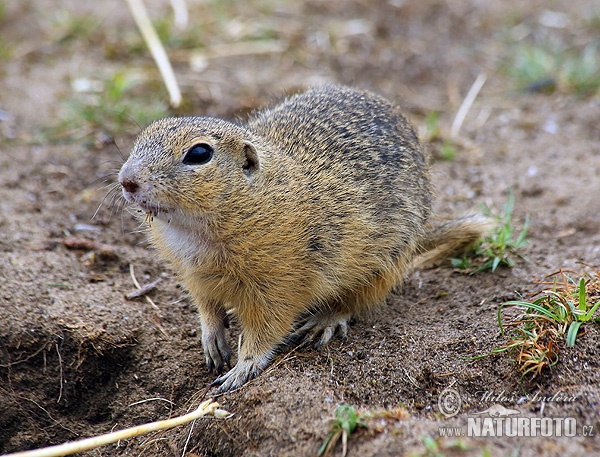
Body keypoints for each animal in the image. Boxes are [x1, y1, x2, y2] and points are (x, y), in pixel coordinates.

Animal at [118, 84, 492, 392]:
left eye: (199, 154)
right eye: (141, 138)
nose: (127, 180)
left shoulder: (279, 285)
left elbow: (266, 330)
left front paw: (242, 368)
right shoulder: (193, 275)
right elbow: (207, 307)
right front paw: (213, 340)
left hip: (385, 266)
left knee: (355, 300)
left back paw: (323, 322)